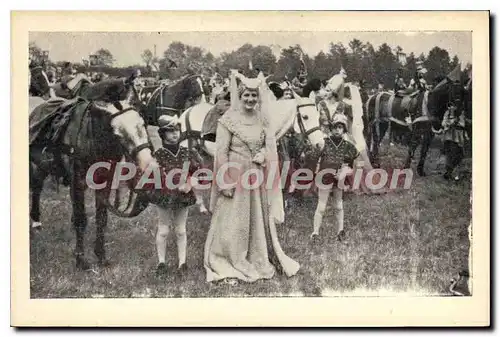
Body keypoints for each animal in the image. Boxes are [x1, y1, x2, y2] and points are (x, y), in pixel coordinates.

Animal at [29, 75, 158, 270]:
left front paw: (101, 255)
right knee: (35, 188)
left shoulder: (105, 181)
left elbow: (101, 217)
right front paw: (80, 259)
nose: (147, 163)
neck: (91, 136)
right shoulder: (77, 182)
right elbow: (81, 219)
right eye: (117, 133)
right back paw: (35, 222)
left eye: (142, 123)